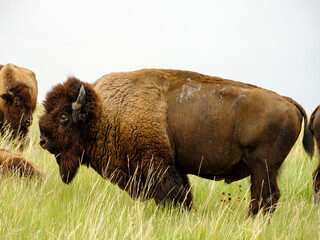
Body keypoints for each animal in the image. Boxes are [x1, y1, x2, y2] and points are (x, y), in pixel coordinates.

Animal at [38, 68, 314, 215]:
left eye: (63, 117)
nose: (42, 141)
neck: (105, 112)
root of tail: (289, 102)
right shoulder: (173, 166)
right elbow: (184, 193)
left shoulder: (156, 163)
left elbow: (173, 194)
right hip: (265, 169)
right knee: (264, 196)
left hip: (263, 166)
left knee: (267, 196)